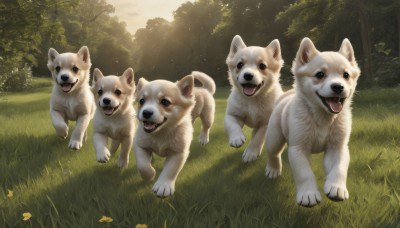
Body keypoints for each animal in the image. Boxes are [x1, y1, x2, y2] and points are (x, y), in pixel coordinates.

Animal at [225, 34, 284, 162]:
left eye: (262, 66)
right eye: (239, 65)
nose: (248, 75)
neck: (253, 100)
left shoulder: (266, 123)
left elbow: (258, 138)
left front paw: (251, 152)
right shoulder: (231, 114)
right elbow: (232, 125)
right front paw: (236, 138)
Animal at [266, 37, 362, 207]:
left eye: (346, 75)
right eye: (320, 74)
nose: (338, 87)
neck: (323, 117)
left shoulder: (338, 147)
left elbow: (339, 168)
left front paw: (336, 187)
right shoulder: (298, 148)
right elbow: (305, 173)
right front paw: (308, 194)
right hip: (274, 137)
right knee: (273, 153)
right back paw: (273, 170)